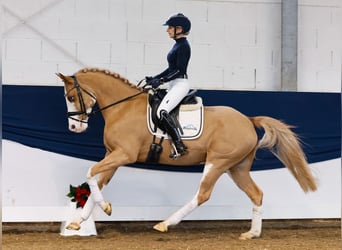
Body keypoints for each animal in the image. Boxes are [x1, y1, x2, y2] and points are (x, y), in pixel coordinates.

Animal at [58, 67, 318, 239]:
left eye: (70, 97)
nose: (74, 128)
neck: (122, 108)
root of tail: (247, 119)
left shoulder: (124, 154)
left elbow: (90, 173)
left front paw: (104, 208)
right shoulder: (112, 155)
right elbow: (97, 182)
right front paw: (78, 222)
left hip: (218, 162)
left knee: (202, 194)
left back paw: (165, 224)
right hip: (237, 167)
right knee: (256, 193)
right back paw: (252, 233)